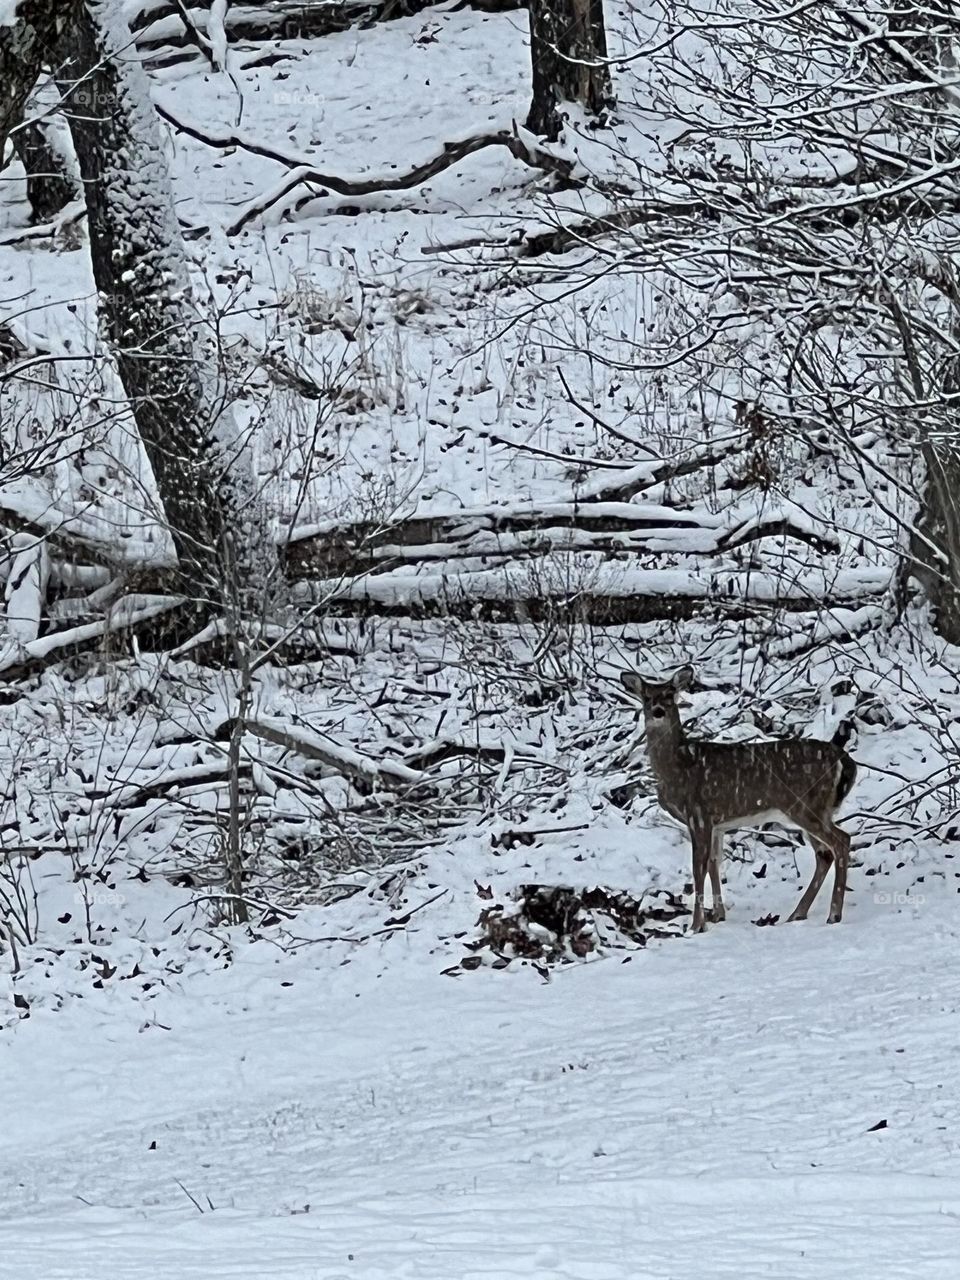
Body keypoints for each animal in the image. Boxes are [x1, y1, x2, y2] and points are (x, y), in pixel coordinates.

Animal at [624, 665, 855, 936]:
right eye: (646, 696)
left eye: (671, 694)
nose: (658, 711)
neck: (676, 767)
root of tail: (845, 760)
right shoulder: (716, 823)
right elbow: (713, 863)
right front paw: (718, 915)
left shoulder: (698, 813)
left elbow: (698, 867)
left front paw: (696, 925)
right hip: (811, 810)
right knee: (824, 854)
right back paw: (798, 913)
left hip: (807, 805)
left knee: (841, 841)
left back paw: (833, 914)